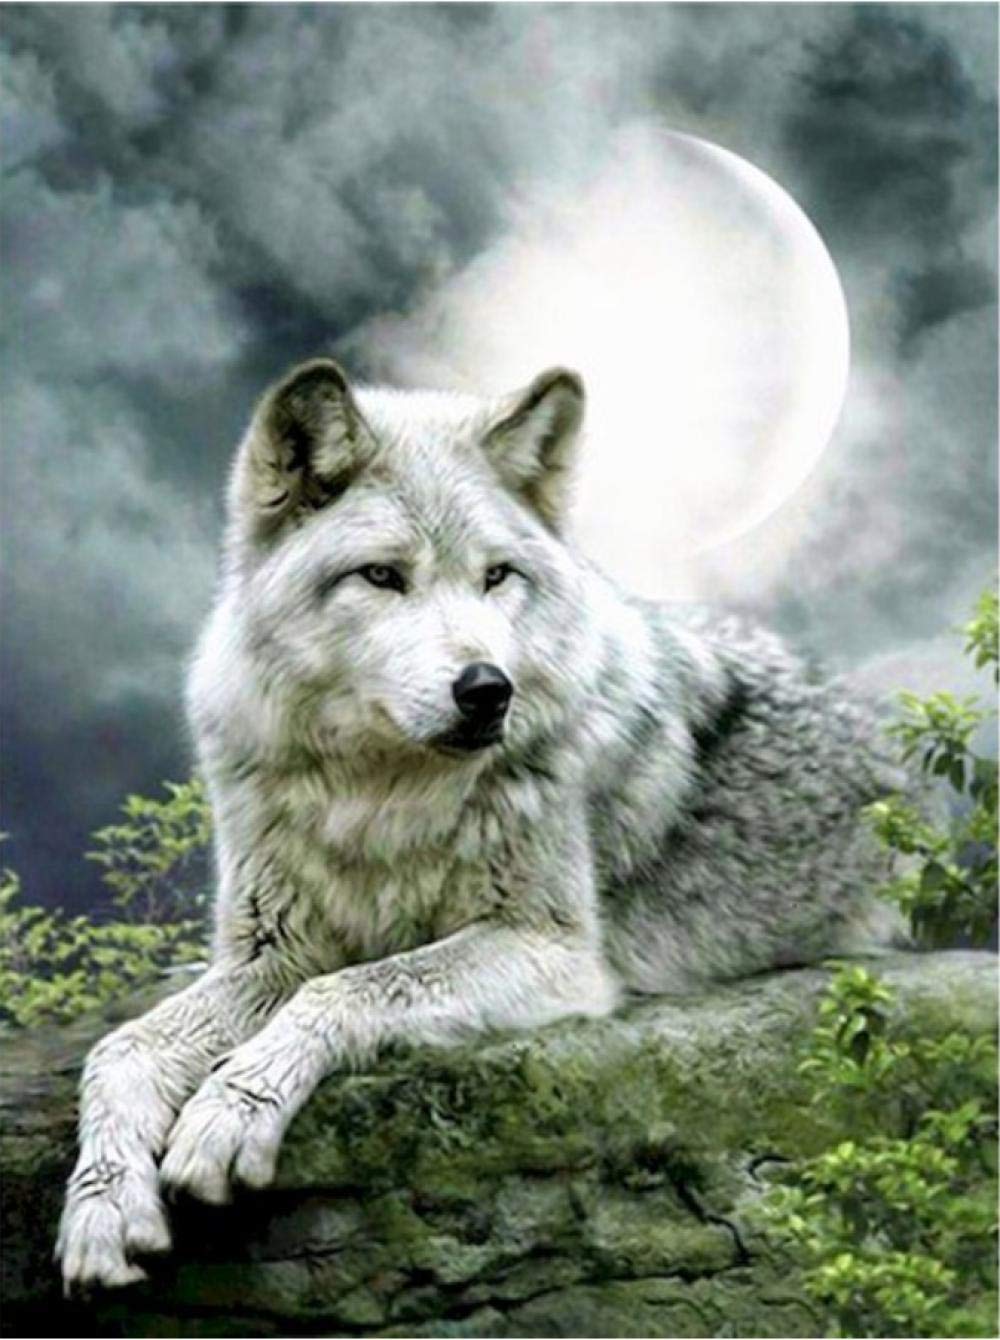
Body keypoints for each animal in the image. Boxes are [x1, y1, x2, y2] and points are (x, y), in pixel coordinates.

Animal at [57, 358, 907, 1290]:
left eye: (497, 576)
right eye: (382, 577)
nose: (488, 689)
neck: (379, 796)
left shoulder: (553, 950)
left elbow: (348, 989)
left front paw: (228, 1111)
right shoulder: (269, 954)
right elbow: (119, 1049)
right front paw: (102, 1207)